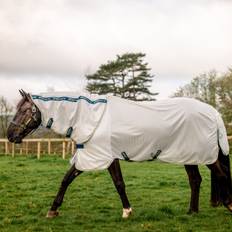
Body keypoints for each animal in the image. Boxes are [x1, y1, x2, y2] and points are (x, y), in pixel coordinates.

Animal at [6, 89, 232, 218]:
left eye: (24, 111)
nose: (9, 135)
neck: (91, 118)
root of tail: (212, 112)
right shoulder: (94, 156)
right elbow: (67, 179)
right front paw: (53, 210)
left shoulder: (103, 157)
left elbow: (117, 183)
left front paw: (127, 211)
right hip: (189, 155)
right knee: (195, 180)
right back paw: (191, 212)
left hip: (204, 156)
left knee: (220, 175)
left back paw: (228, 204)